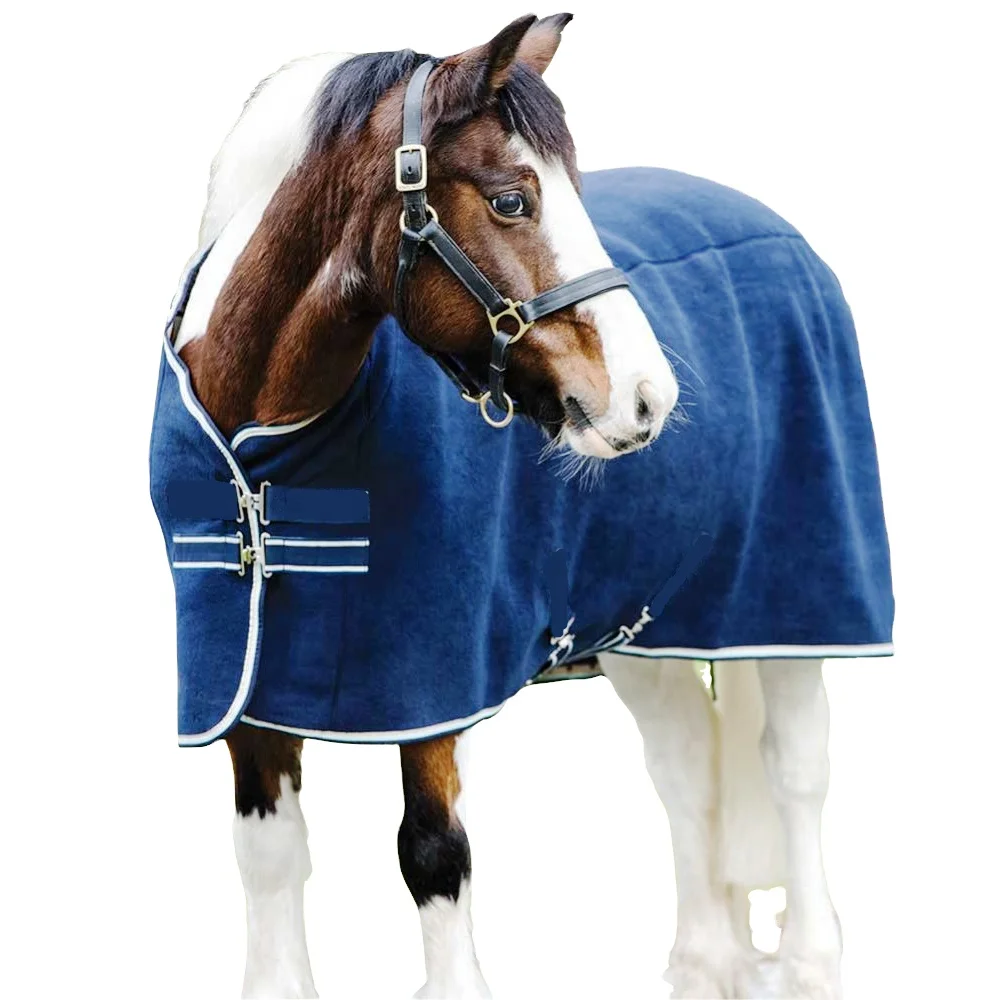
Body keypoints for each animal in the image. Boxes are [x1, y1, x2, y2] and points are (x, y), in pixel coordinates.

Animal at [150, 14, 893, 999]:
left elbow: (433, 855)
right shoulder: (246, 689)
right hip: (641, 620)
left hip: (790, 601)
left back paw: (810, 962)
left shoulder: (434, 676)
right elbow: (270, 856)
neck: (268, 452)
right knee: (683, 763)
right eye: (510, 200)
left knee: (795, 766)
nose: (647, 398)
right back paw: (704, 962)